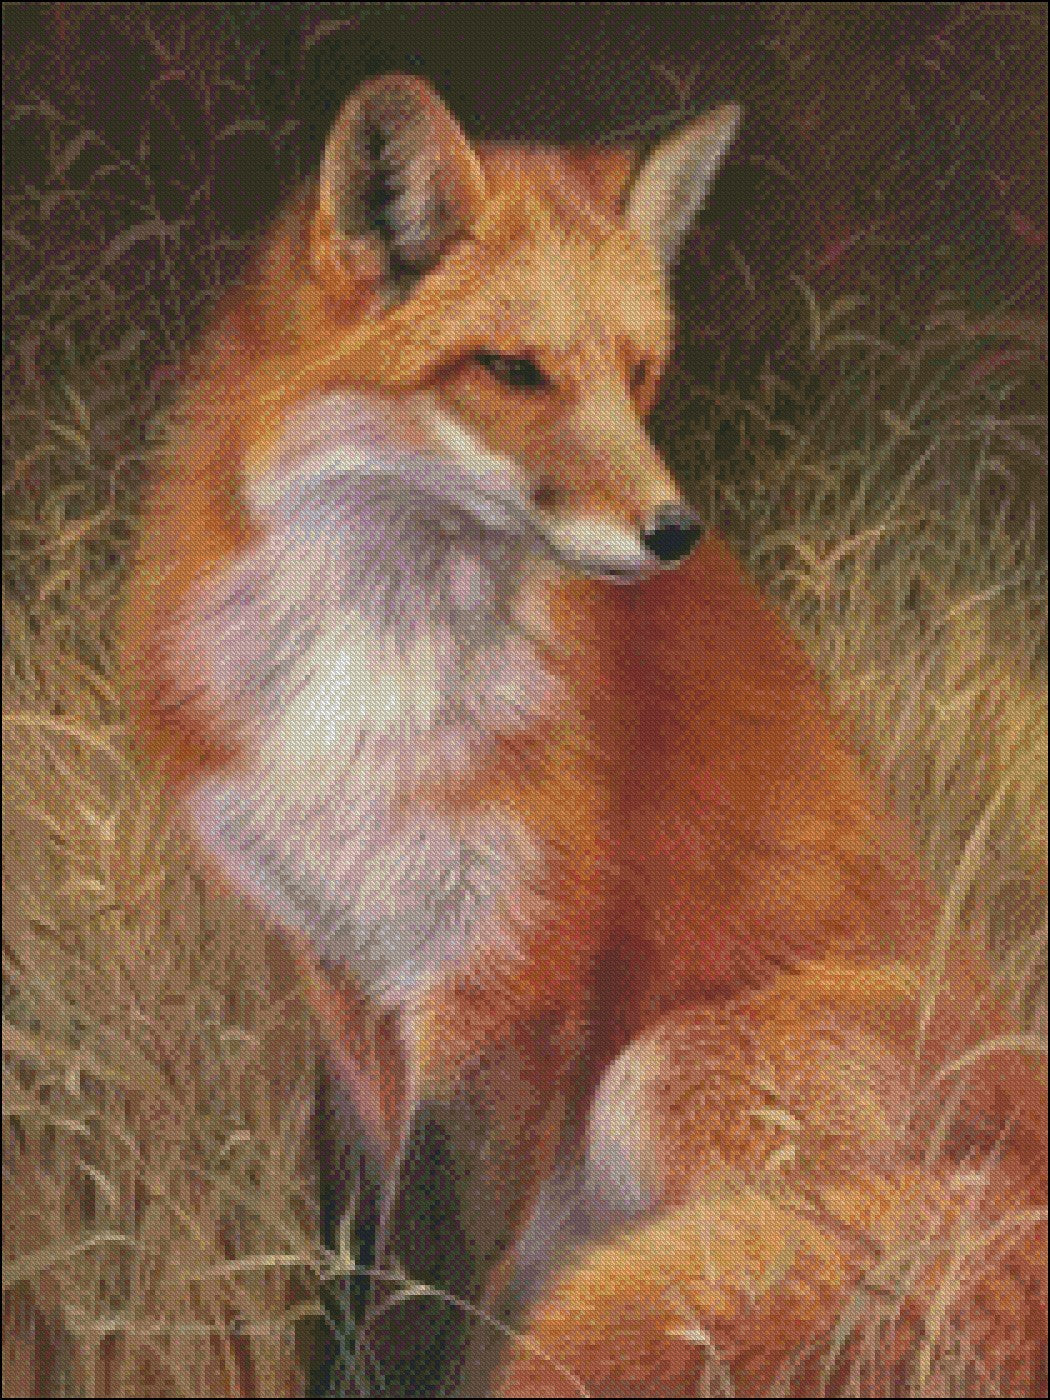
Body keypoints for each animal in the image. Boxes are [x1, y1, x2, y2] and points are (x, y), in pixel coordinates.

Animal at [121, 74, 1047, 1398]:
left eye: (638, 371)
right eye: (514, 370)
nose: (674, 531)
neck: (370, 680)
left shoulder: (511, 971)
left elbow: (421, 1300)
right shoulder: (345, 975)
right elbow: (347, 1271)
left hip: (664, 1073)